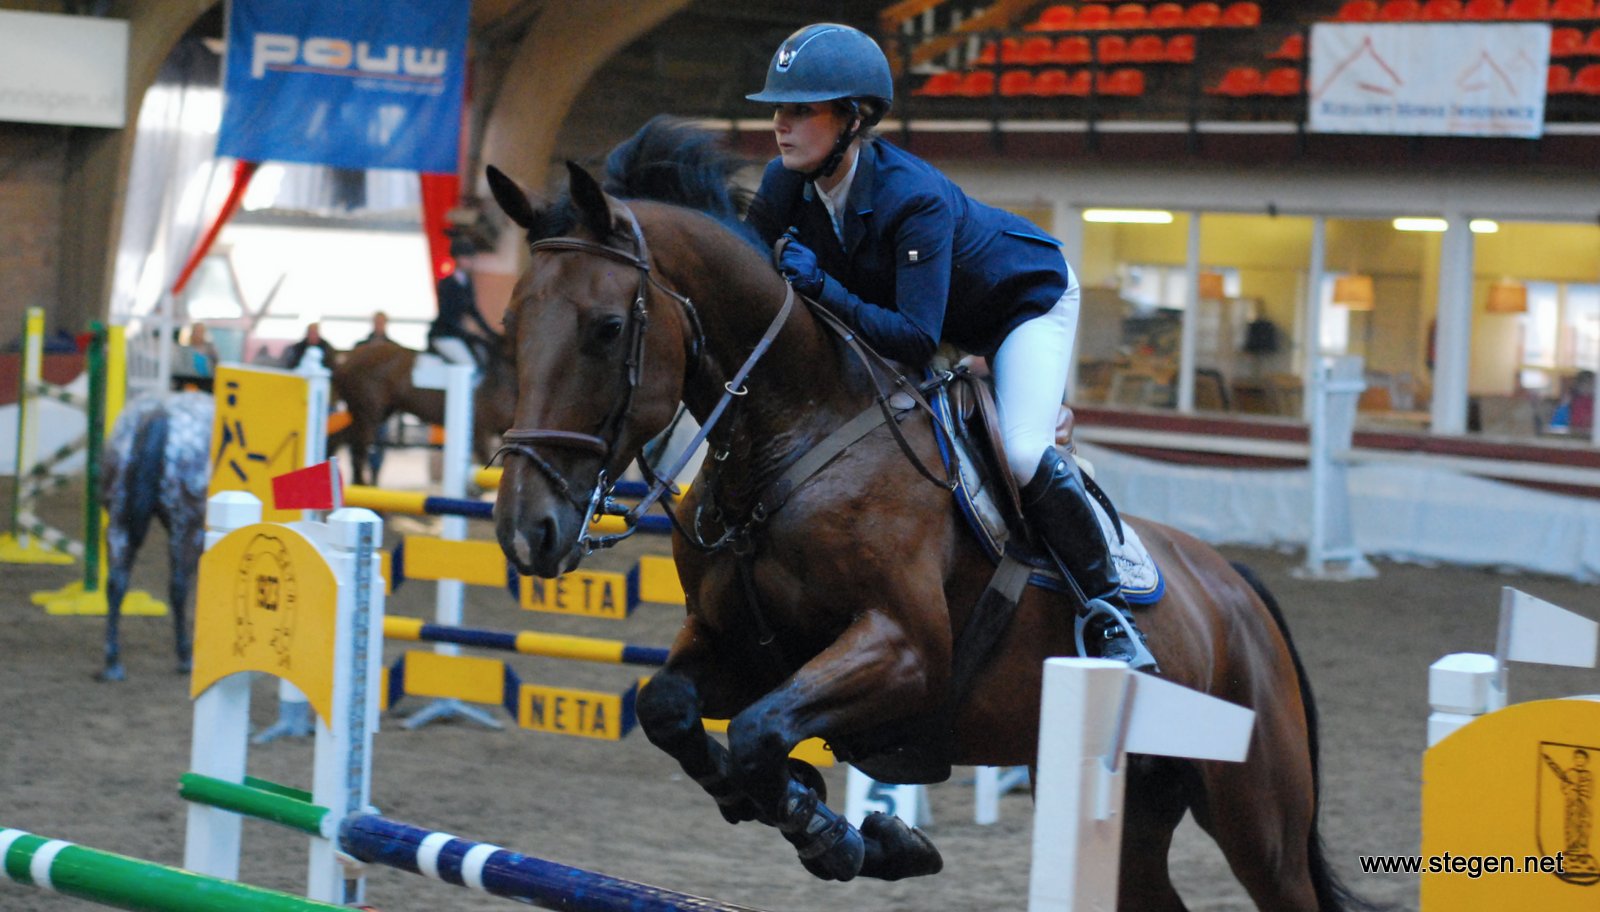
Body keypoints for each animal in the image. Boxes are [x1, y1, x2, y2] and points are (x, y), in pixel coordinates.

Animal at [97, 390, 212, 681]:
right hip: (187, 528)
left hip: (119, 523)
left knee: (116, 583)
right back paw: (185, 657)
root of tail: (158, 413)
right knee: (178, 586)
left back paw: (113, 662)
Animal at [329, 339, 515, 483]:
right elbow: (488, 463)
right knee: (358, 449)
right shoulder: (480, 431)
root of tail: (346, 361)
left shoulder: (502, 429)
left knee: (343, 440)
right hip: (367, 415)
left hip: (373, 414)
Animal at [483, 120, 1363, 908]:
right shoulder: (737, 647)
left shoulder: (905, 650)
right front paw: (792, 803)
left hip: (1256, 813)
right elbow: (669, 708)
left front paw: (847, 833)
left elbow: (763, 732)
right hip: (1141, 801)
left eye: (606, 329)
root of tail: (1237, 587)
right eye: (512, 326)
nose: (526, 530)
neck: (790, 434)